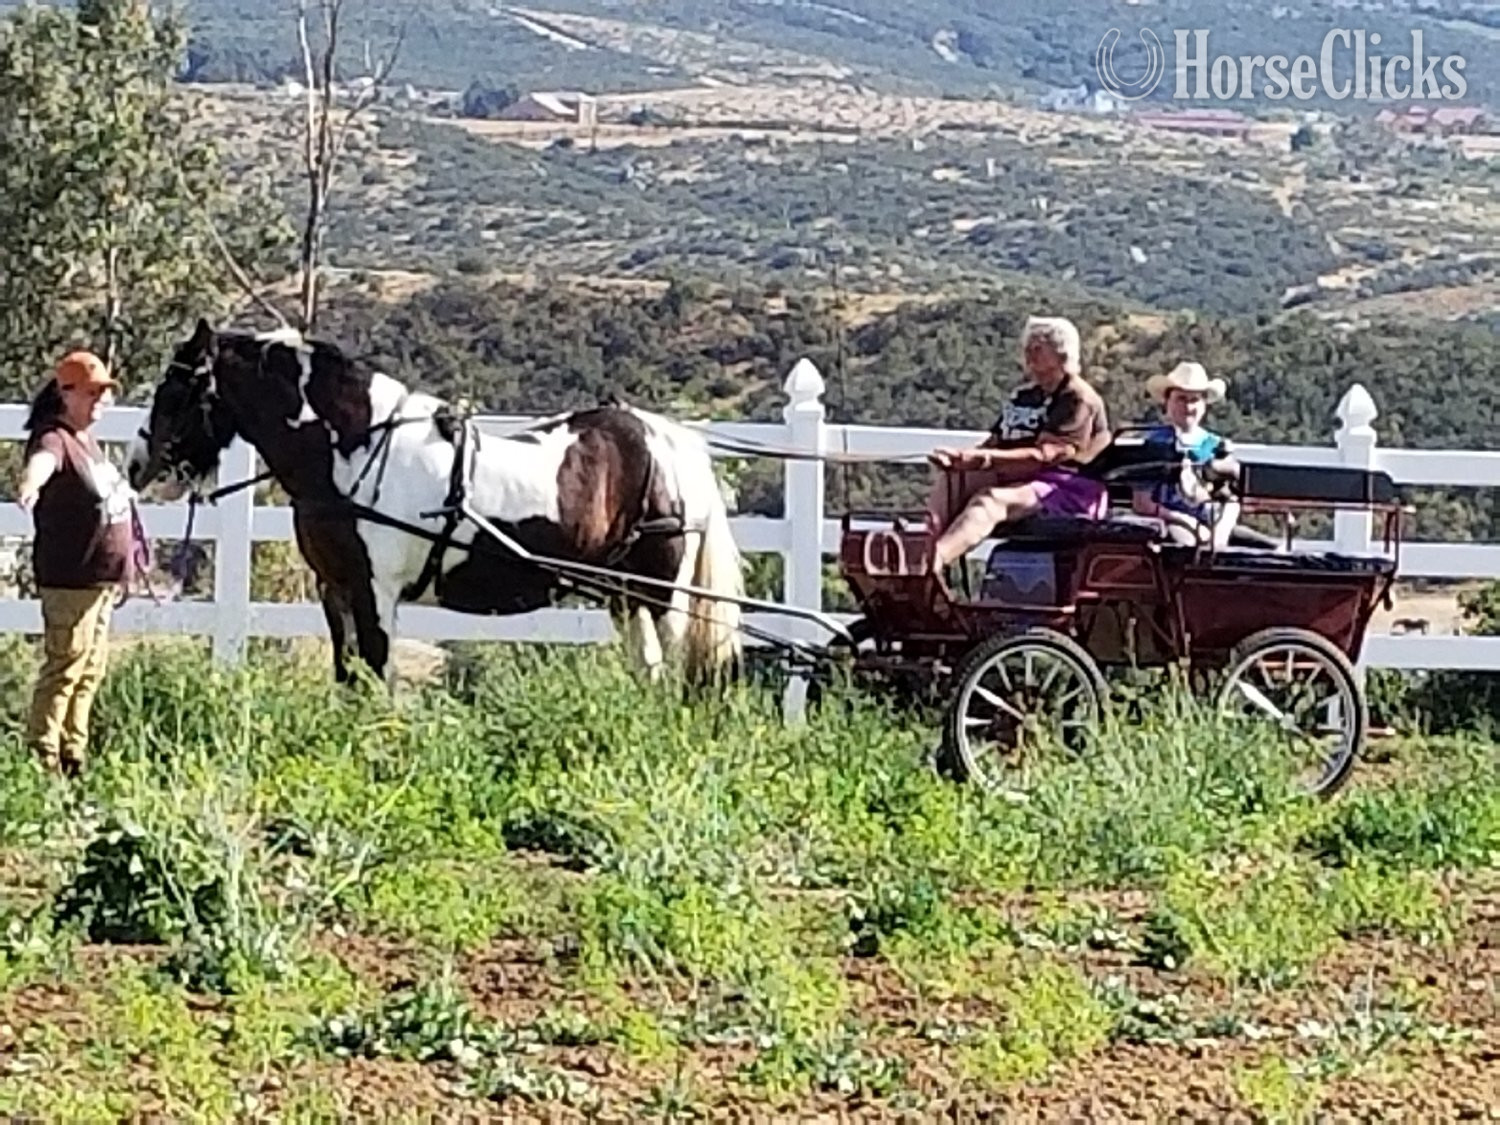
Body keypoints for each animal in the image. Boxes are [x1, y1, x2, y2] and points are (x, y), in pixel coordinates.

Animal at [126, 318, 746, 687]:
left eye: (176, 389)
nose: (136, 464)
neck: (354, 446)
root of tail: (667, 439)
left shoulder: (376, 592)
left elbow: (376, 671)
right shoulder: (336, 589)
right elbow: (347, 672)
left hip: (664, 596)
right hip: (622, 595)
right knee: (650, 670)